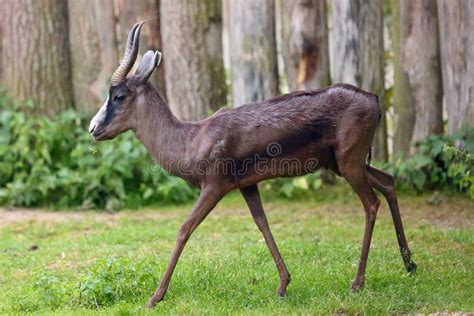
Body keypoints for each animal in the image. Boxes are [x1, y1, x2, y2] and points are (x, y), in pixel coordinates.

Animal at [89, 22, 414, 308]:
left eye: (119, 95)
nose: (93, 128)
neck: (191, 138)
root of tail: (375, 100)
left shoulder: (214, 187)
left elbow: (184, 229)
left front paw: (155, 297)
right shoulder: (248, 186)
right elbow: (262, 223)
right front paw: (283, 284)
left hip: (349, 163)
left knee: (371, 203)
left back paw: (358, 283)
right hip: (342, 163)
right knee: (388, 182)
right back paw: (410, 265)